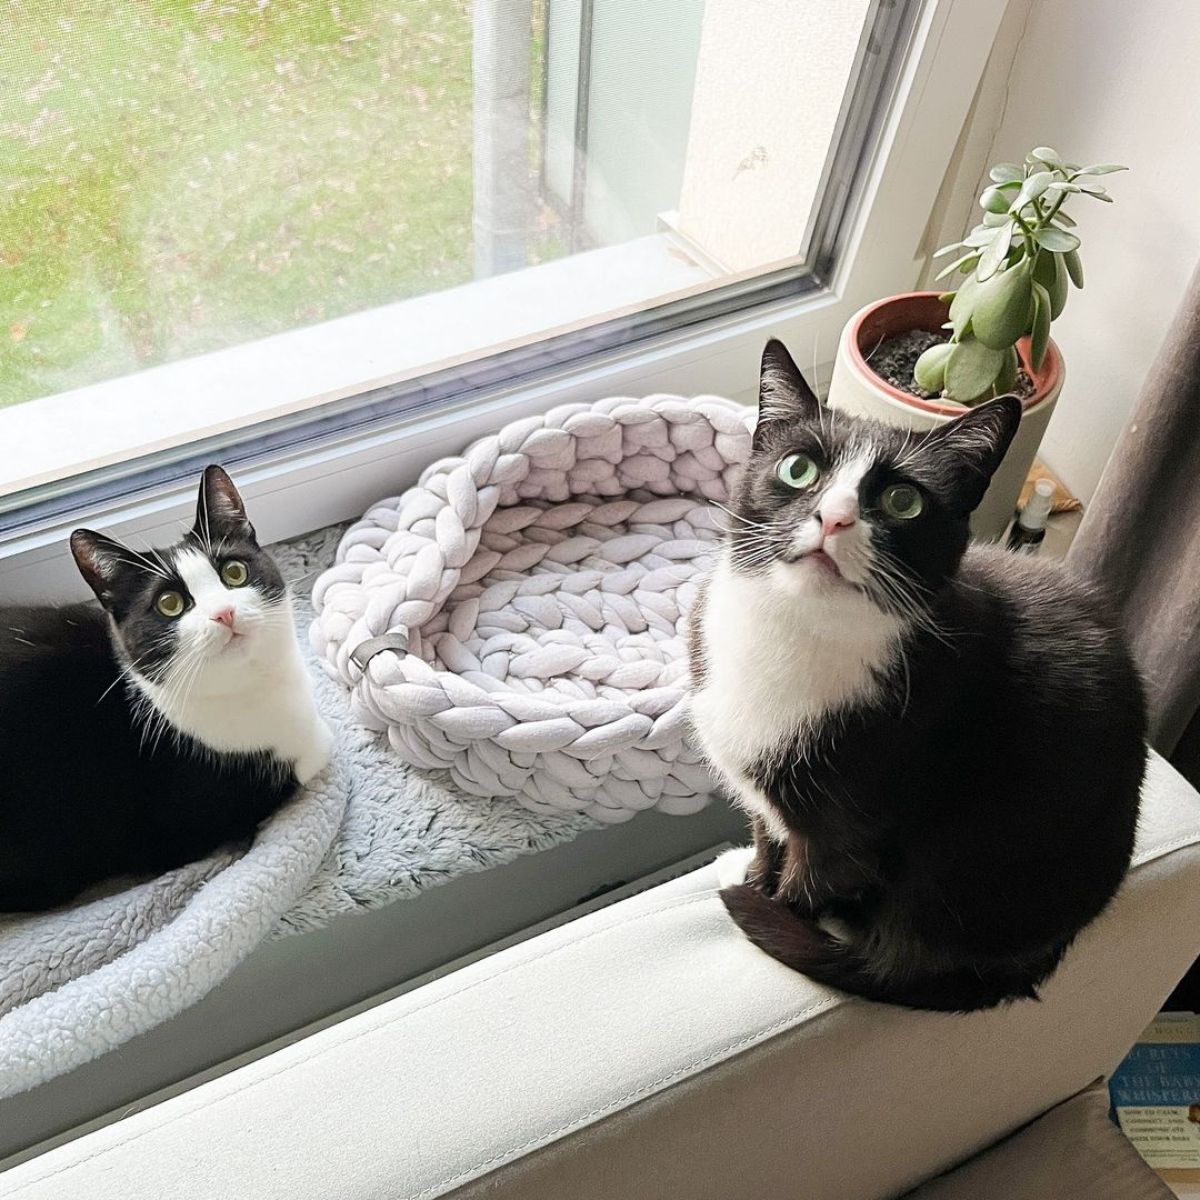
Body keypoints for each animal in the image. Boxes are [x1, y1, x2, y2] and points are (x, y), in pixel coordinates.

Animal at [686, 340, 1142, 1012]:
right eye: (798, 470)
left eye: (904, 501)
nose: (834, 518)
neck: (794, 624)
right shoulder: (763, 790)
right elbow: (768, 835)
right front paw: (752, 870)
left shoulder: (844, 832)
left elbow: (803, 885)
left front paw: (768, 904)